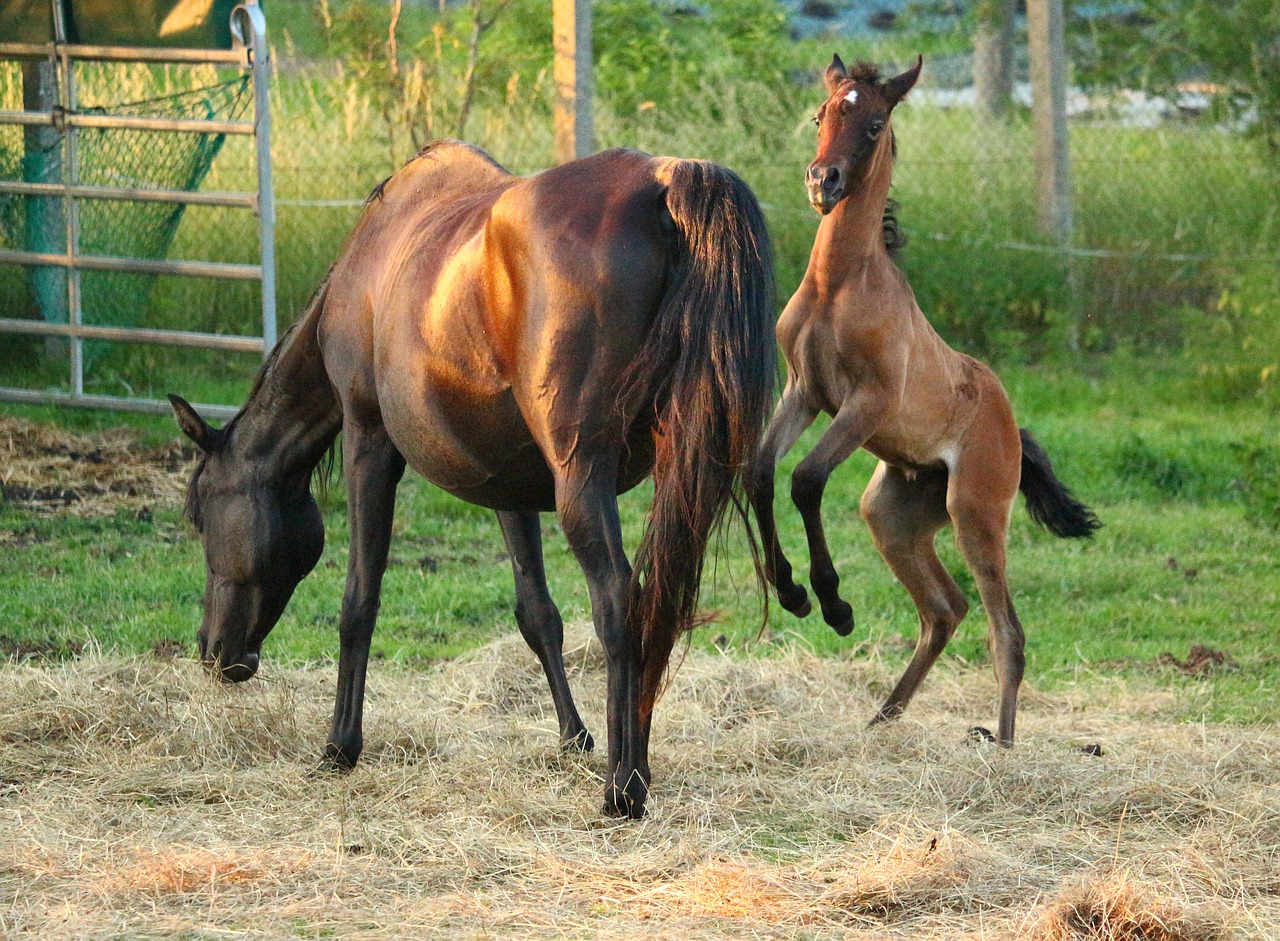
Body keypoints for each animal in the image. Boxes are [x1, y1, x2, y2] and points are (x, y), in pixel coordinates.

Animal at [167, 139, 768, 819]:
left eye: (200, 516)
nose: (213, 652)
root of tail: (664, 182)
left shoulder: (369, 443)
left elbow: (358, 600)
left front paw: (339, 747)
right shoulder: (511, 482)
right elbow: (538, 612)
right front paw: (574, 737)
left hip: (581, 477)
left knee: (620, 599)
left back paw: (624, 789)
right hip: (679, 475)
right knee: (659, 600)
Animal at [747, 56, 1100, 752]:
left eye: (874, 123)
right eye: (820, 115)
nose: (822, 181)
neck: (839, 284)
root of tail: (1012, 425)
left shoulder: (867, 404)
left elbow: (805, 478)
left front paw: (832, 604)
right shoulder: (804, 392)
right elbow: (761, 470)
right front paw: (792, 591)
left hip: (975, 513)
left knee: (1005, 630)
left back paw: (1003, 744)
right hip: (892, 515)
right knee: (945, 610)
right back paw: (882, 718)